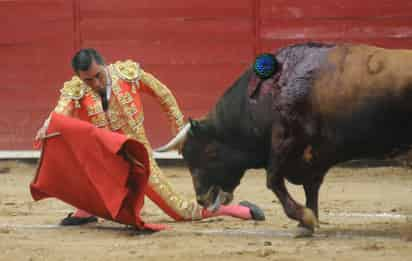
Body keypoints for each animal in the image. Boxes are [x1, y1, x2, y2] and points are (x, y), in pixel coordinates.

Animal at [156, 42, 412, 234]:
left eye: (209, 153)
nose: (202, 199)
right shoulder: (314, 154)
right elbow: (311, 185)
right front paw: (307, 223)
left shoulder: (286, 138)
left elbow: (273, 180)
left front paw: (305, 218)